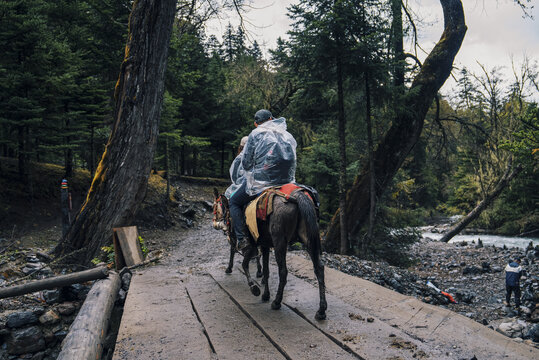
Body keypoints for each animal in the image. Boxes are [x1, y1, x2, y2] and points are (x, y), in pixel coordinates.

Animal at [213, 187, 326, 320]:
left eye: (214, 206)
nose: (216, 223)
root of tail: (298, 195)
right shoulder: (264, 245)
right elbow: (266, 270)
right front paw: (265, 294)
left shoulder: (249, 245)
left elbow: (244, 264)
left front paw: (254, 288)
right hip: (308, 239)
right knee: (319, 268)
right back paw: (321, 311)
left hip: (279, 242)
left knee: (283, 271)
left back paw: (277, 302)